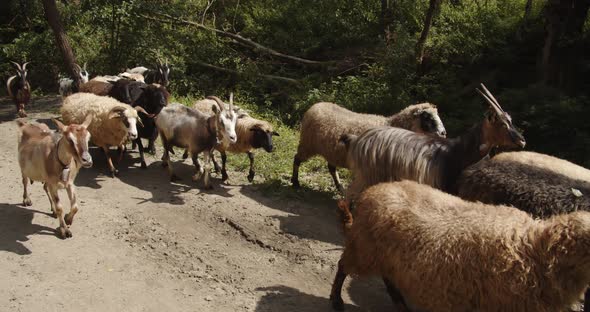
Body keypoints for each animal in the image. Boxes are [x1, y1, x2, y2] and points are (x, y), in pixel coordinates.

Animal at [292, 101, 448, 191]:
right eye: (427, 117)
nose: (443, 133)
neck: (392, 123)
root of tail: (316, 105)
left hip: (331, 151)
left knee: (331, 168)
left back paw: (339, 186)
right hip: (308, 144)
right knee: (297, 159)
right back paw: (295, 182)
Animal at [330, 180, 590, 312]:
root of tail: (374, 190)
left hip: (384, 254)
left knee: (387, 278)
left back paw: (401, 304)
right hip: (364, 248)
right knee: (343, 266)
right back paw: (336, 300)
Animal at [342, 83, 528, 200]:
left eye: (510, 120)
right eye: (502, 123)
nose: (522, 141)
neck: (457, 152)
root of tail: (359, 139)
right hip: (369, 175)